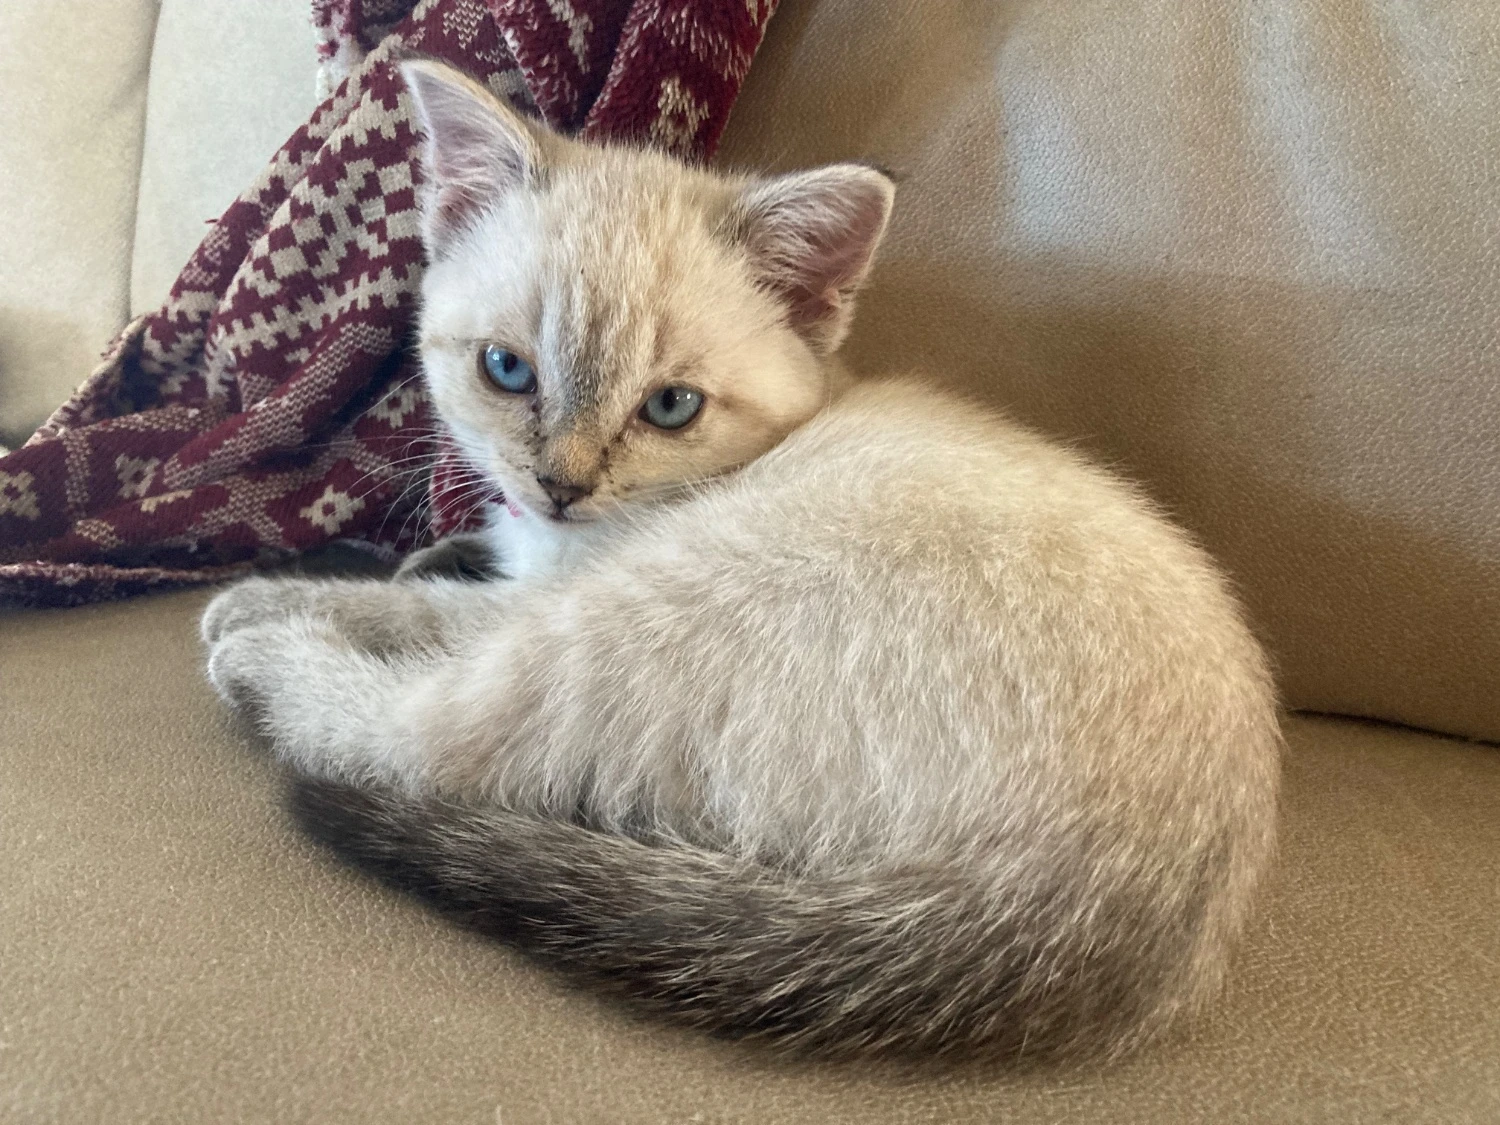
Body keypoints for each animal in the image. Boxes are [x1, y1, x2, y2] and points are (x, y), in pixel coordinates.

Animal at [196, 59, 1278, 1068]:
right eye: (507, 370)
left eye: (670, 407)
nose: (561, 484)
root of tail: (1098, 918)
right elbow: (465, 562)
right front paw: (445, 547)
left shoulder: (563, 591)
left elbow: (422, 614)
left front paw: (264, 602)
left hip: (655, 613)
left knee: (422, 742)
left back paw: (259, 657)